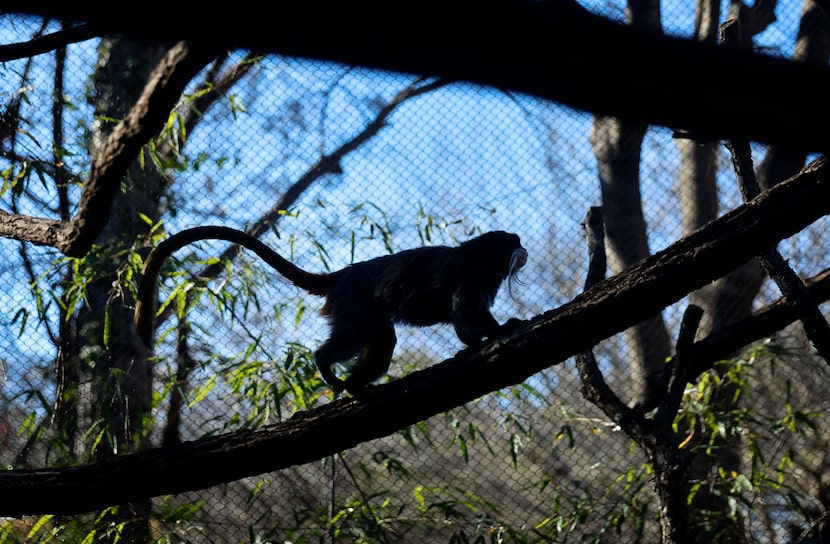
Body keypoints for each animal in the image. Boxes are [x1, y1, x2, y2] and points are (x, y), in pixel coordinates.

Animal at [136, 226, 528, 396]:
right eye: (516, 241)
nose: (524, 248)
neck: (479, 257)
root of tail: (343, 274)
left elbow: (462, 324)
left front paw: (475, 343)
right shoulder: (470, 277)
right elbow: (464, 312)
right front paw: (503, 329)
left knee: (380, 342)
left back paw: (357, 387)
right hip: (354, 302)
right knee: (357, 338)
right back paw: (326, 366)